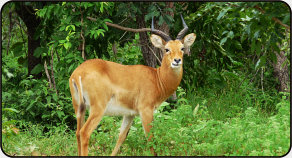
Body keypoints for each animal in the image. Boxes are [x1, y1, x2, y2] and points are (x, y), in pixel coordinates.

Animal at [69, 14, 196, 156]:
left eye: (182, 48)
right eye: (167, 49)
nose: (177, 60)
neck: (157, 78)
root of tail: (78, 74)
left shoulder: (129, 114)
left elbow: (121, 137)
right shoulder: (145, 110)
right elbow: (151, 139)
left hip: (79, 108)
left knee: (77, 133)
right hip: (97, 109)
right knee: (84, 133)